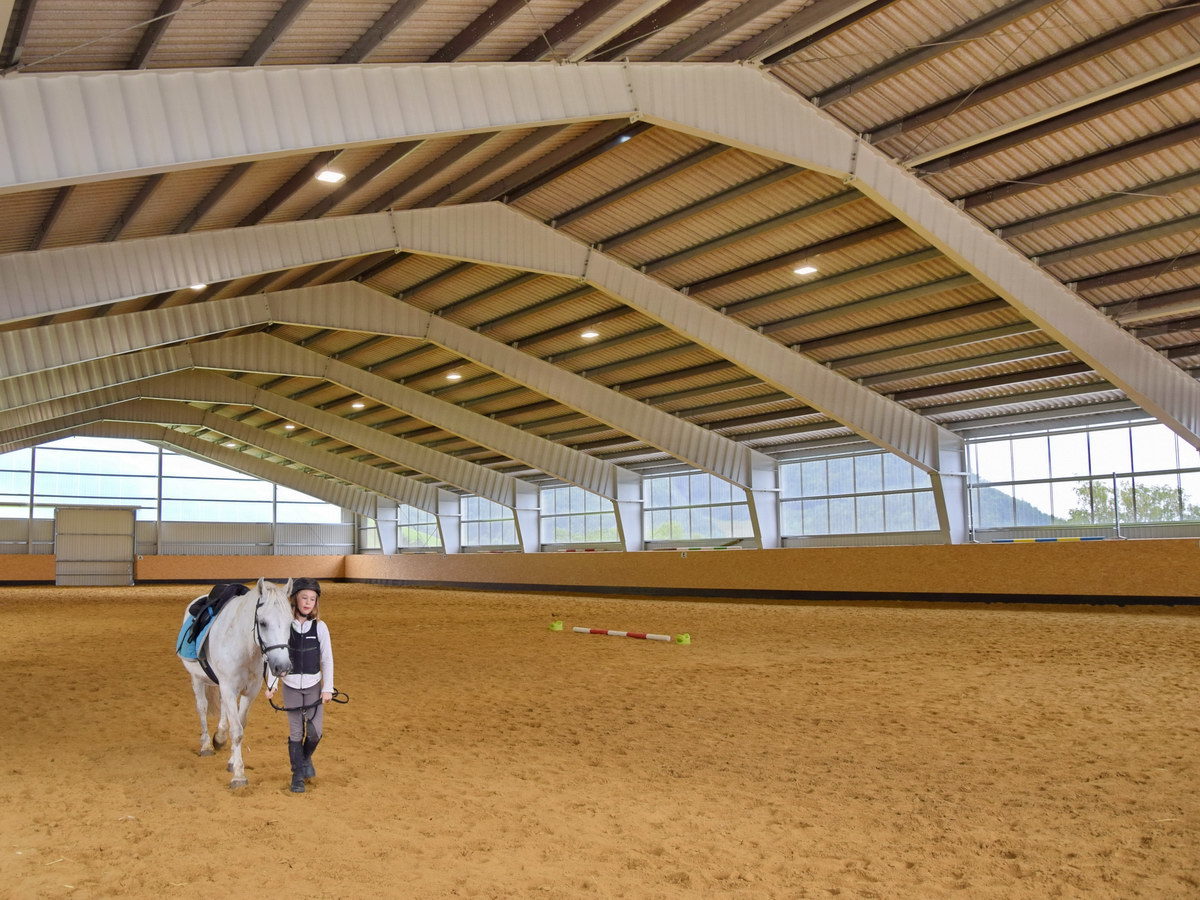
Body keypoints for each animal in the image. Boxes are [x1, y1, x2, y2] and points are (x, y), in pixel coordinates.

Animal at [178, 577, 294, 788]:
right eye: (262, 623)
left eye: (290, 623)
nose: (282, 667)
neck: (245, 647)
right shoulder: (229, 688)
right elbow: (237, 730)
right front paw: (239, 775)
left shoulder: (250, 691)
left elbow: (240, 724)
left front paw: (231, 760)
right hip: (197, 679)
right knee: (202, 708)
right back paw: (206, 745)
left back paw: (219, 737)